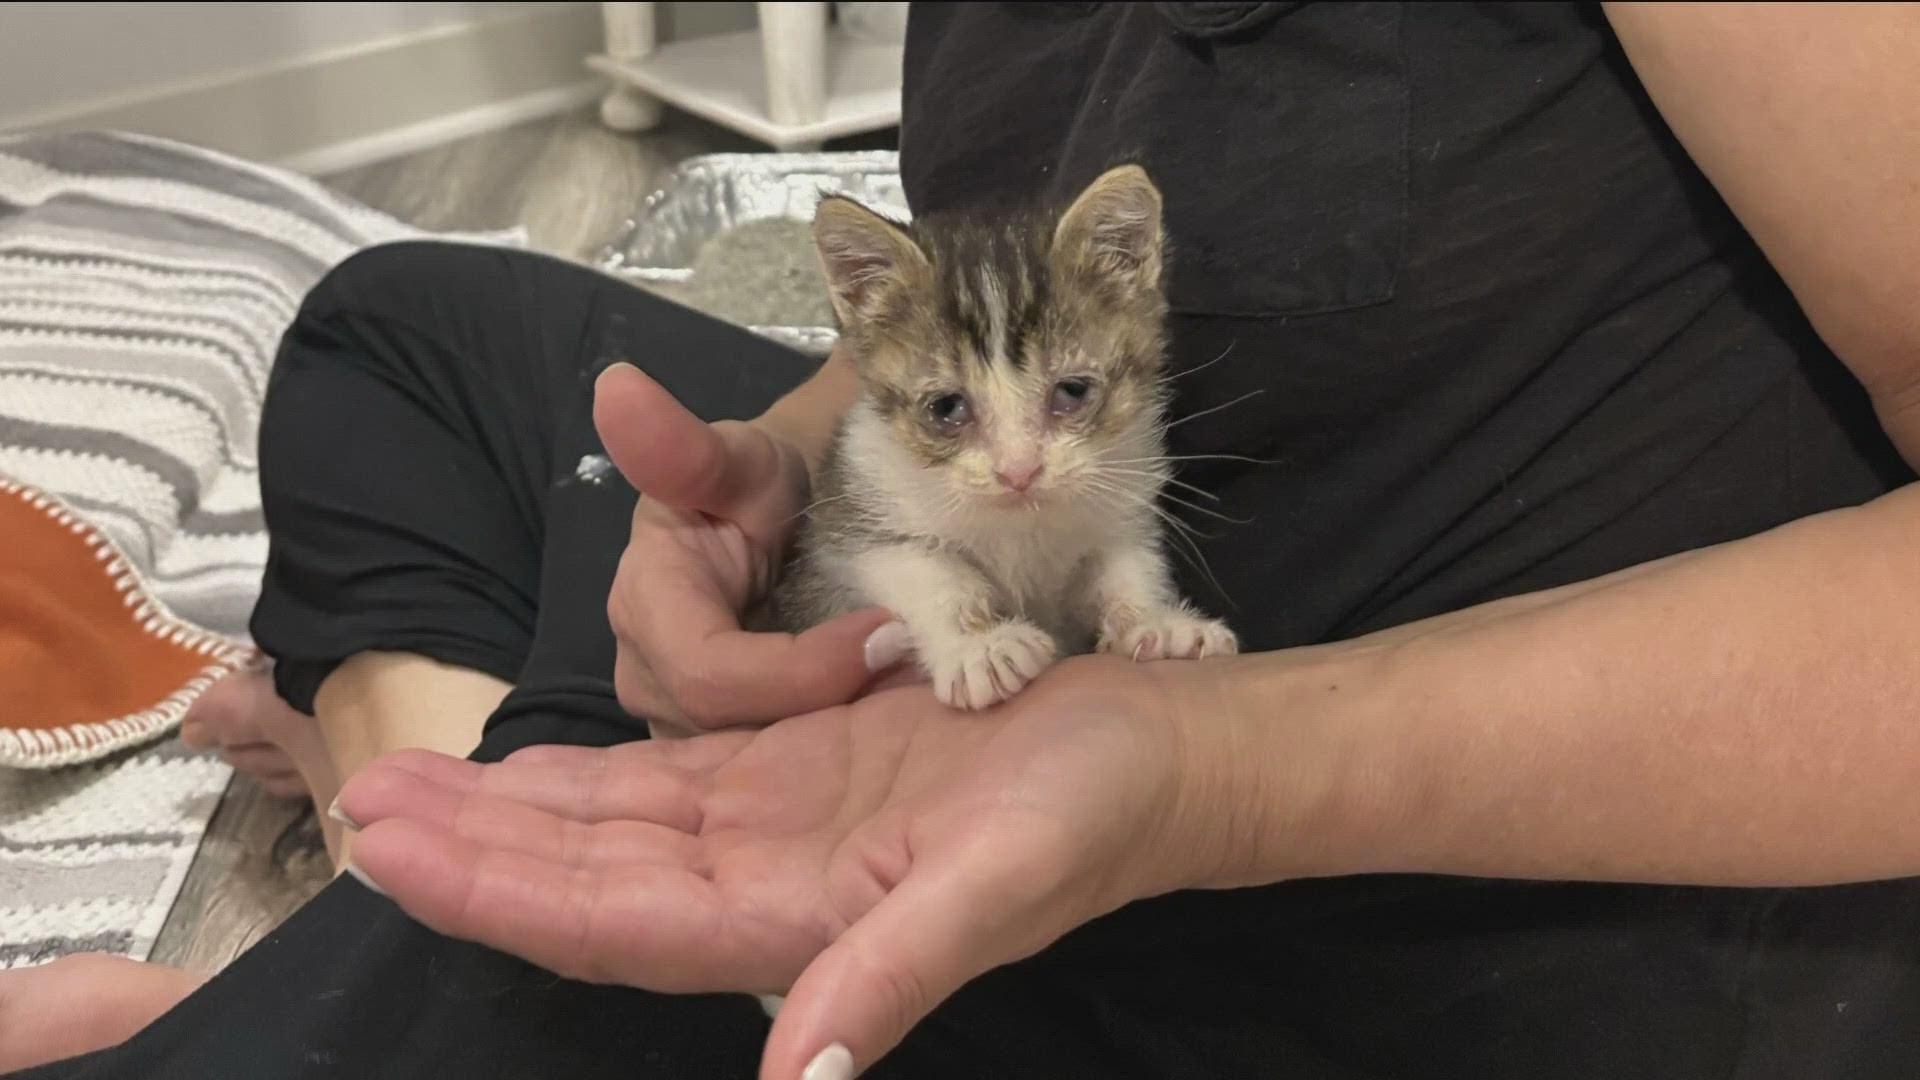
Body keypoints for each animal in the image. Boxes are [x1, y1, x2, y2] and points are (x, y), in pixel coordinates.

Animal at [756, 164, 1236, 707]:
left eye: (1072, 390)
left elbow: (1126, 568)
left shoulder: (1120, 506)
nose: (1019, 471)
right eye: (947, 407)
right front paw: (979, 650)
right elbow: (924, 572)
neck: (1021, 527)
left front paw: (1156, 624)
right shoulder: (851, 520)